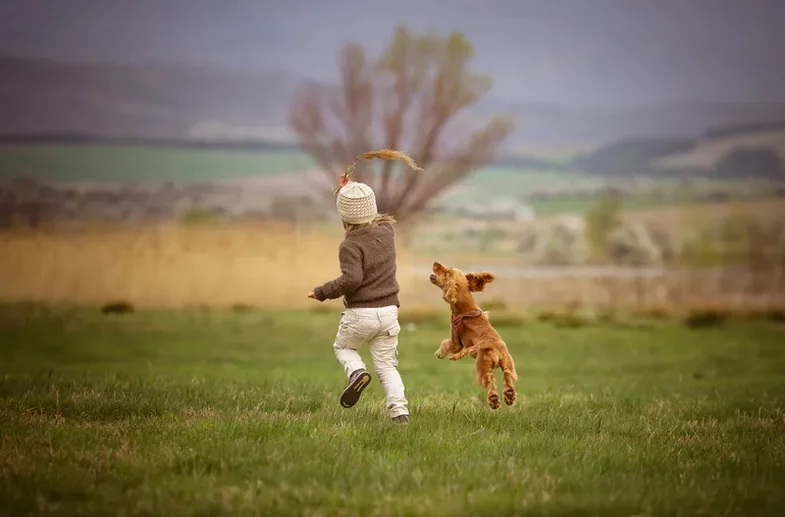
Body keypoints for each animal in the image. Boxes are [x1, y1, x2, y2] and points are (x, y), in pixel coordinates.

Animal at [426, 260, 516, 410]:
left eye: (446, 272)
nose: (435, 262)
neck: (465, 308)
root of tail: (491, 344)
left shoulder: (456, 342)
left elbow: (445, 342)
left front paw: (439, 353)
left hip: (482, 367)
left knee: (490, 381)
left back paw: (494, 400)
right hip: (508, 364)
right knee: (508, 377)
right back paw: (509, 396)